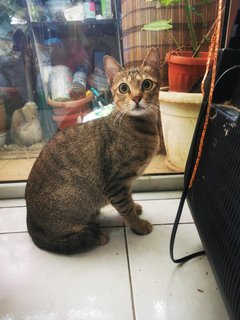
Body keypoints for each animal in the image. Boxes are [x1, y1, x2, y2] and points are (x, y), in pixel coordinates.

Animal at [25, 47, 160, 254]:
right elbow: (126, 208)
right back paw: (94, 234)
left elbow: (129, 201)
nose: (137, 98)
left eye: (146, 84)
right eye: (124, 88)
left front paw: (135, 209)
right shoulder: (116, 183)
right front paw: (138, 224)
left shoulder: (124, 184)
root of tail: (30, 219)